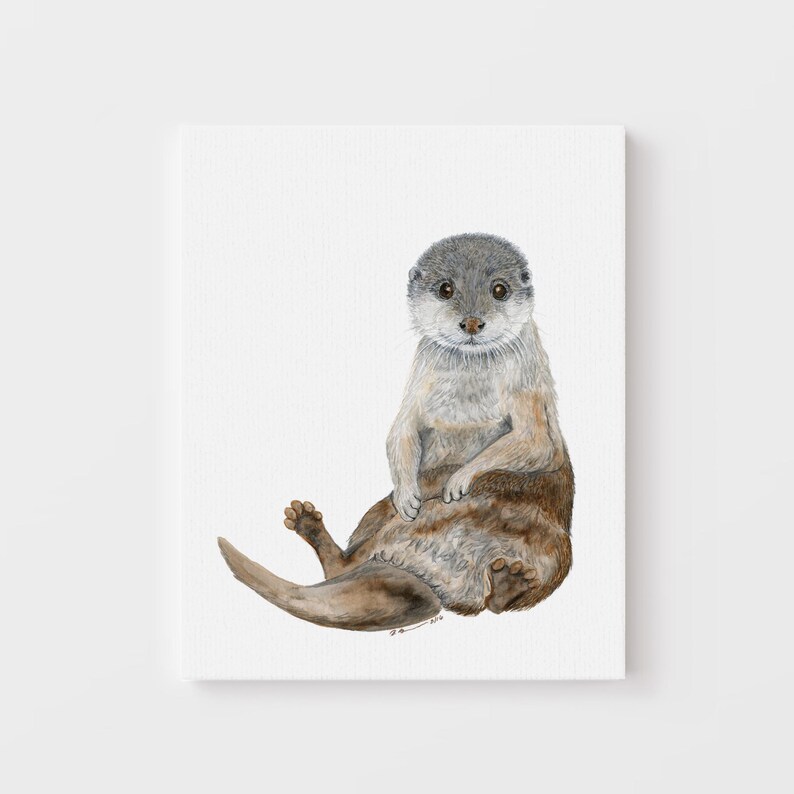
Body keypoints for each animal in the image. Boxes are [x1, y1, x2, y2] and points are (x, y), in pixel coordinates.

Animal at [218, 233, 573, 631]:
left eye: (500, 289)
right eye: (446, 288)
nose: (471, 321)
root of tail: (435, 582)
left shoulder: (527, 381)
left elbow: (538, 442)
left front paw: (459, 480)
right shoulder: (419, 375)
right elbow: (401, 429)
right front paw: (407, 495)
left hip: (556, 552)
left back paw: (507, 582)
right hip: (378, 512)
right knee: (343, 564)